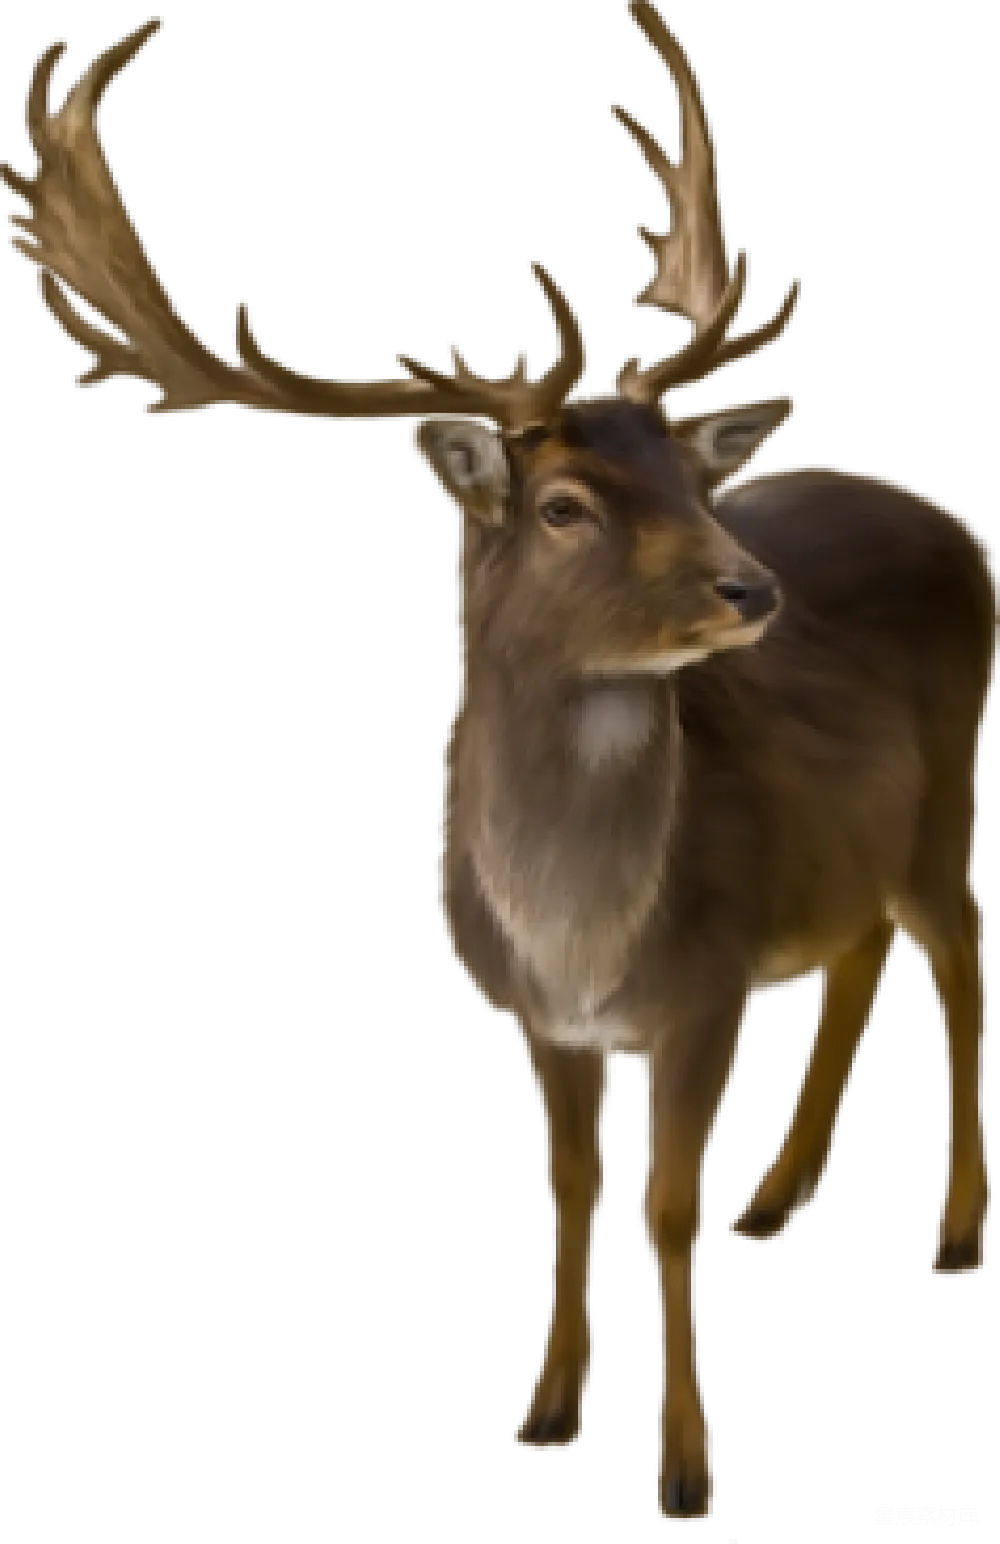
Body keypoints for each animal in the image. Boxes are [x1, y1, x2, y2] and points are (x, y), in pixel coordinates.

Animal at [1, 3, 992, 1525]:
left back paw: (953, 1230)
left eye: (695, 480)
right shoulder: (545, 1018)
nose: (750, 586)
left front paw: (687, 1469)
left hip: (952, 790)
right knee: (858, 946)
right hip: (855, 844)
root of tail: (962, 528)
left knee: (960, 955)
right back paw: (780, 1196)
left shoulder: (703, 987)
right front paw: (547, 1409)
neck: (585, 926)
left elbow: (662, 1210)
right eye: (567, 503)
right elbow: (575, 1195)